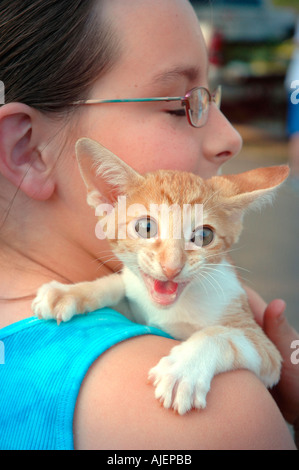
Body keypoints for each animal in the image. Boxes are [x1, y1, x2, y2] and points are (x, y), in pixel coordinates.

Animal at [31, 138, 290, 414]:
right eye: (146, 227)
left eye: (204, 236)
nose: (172, 267)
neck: (170, 310)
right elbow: (121, 284)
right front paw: (70, 292)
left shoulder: (268, 352)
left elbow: (219, 335)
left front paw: (185, 370)